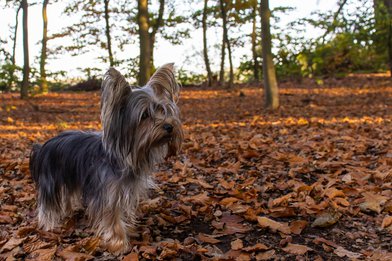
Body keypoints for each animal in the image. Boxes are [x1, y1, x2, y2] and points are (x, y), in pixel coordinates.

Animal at [29, 63, 183, 252]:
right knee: (47, 206)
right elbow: (112, 218)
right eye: (145, 115)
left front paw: (129, 230)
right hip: (50, 181)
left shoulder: (127, 190)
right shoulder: (108, 194)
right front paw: (119, 243)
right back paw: (49, 226)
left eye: (162, 110)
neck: (127, 156)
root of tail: (42, 147)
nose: (169, 126)